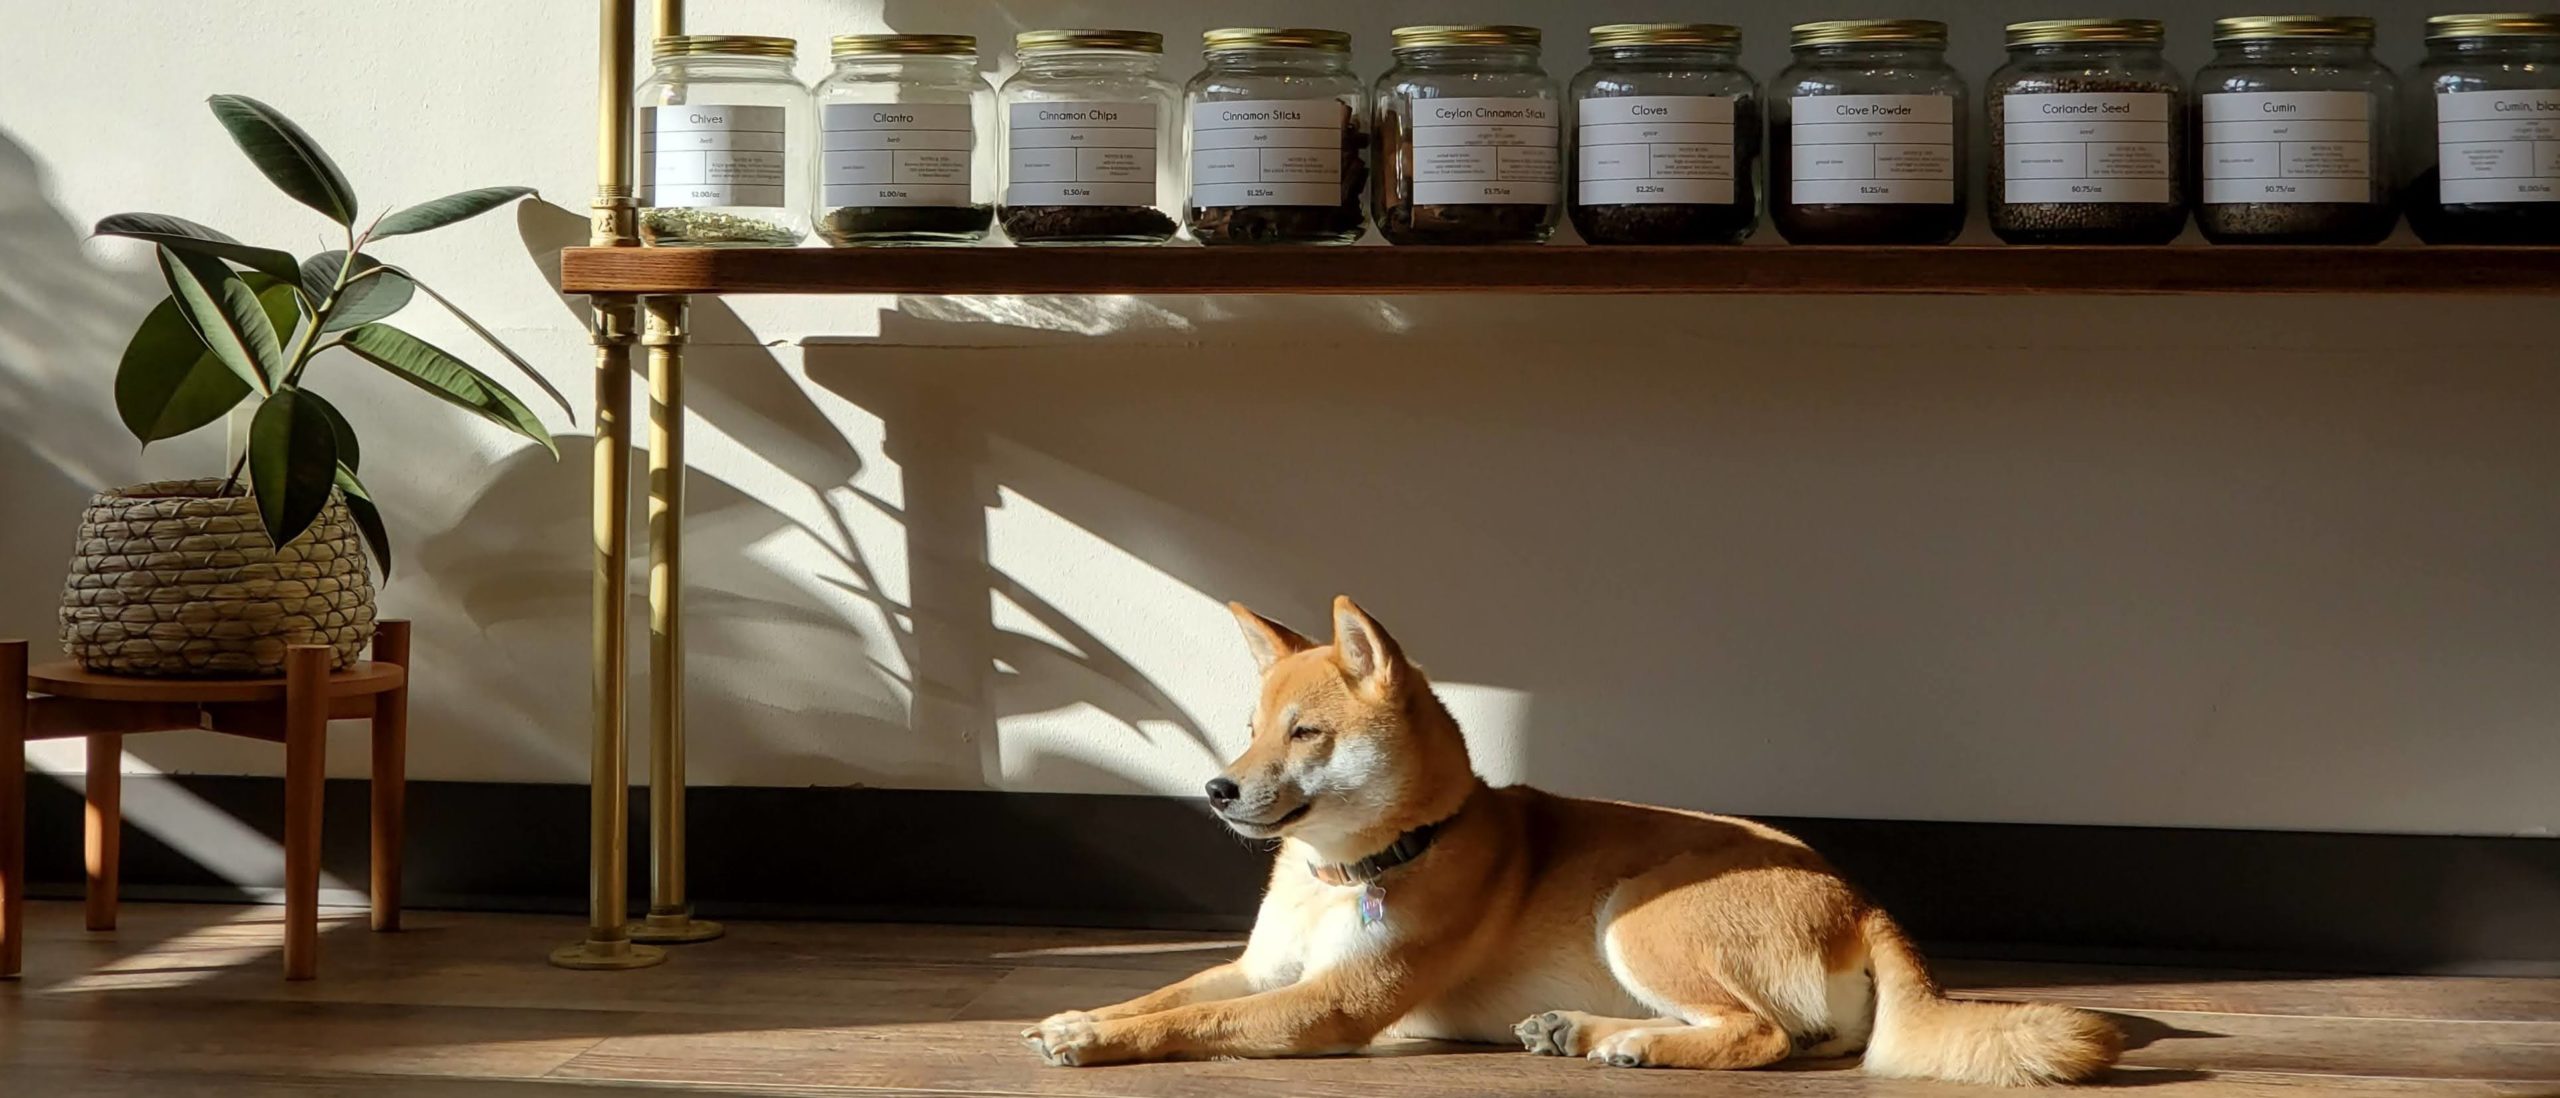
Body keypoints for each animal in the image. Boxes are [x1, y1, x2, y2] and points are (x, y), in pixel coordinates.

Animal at [1018, 593, 2119, 1080]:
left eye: (1306, 734)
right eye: (1247, 728)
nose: (1216, 788)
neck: (1351, 870)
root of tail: (1863, 898)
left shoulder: (1324, 1005)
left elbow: (1193, 1020)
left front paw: (1094, 1038)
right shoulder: (1260, 970)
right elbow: (1166, 993)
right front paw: (1079, 1014)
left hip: (1635, 912)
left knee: (1763, 1036)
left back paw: (1626, 1043)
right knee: (1777, 1032)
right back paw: (1582, 1032)